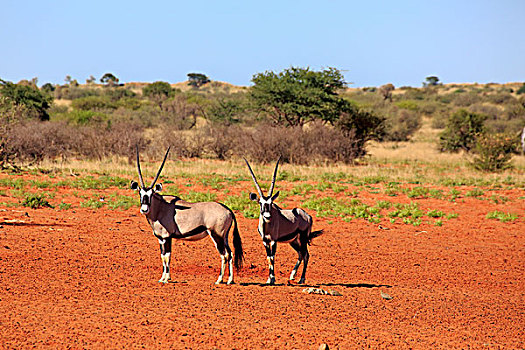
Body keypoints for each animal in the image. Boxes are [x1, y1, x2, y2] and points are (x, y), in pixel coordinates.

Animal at [132, 148, 245, 284]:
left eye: (151, 194)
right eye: (140, 193)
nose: (144, 209)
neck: (161, 208)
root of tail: (228, 210)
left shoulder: (167, 237)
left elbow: (167, 256)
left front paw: (166, 279)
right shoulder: (160, 239)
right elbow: (163, 256)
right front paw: (162, 278)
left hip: (216, 235)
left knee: (224, 255)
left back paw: (219, 280)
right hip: (224, 237)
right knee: (230, 253)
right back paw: (230, 280)